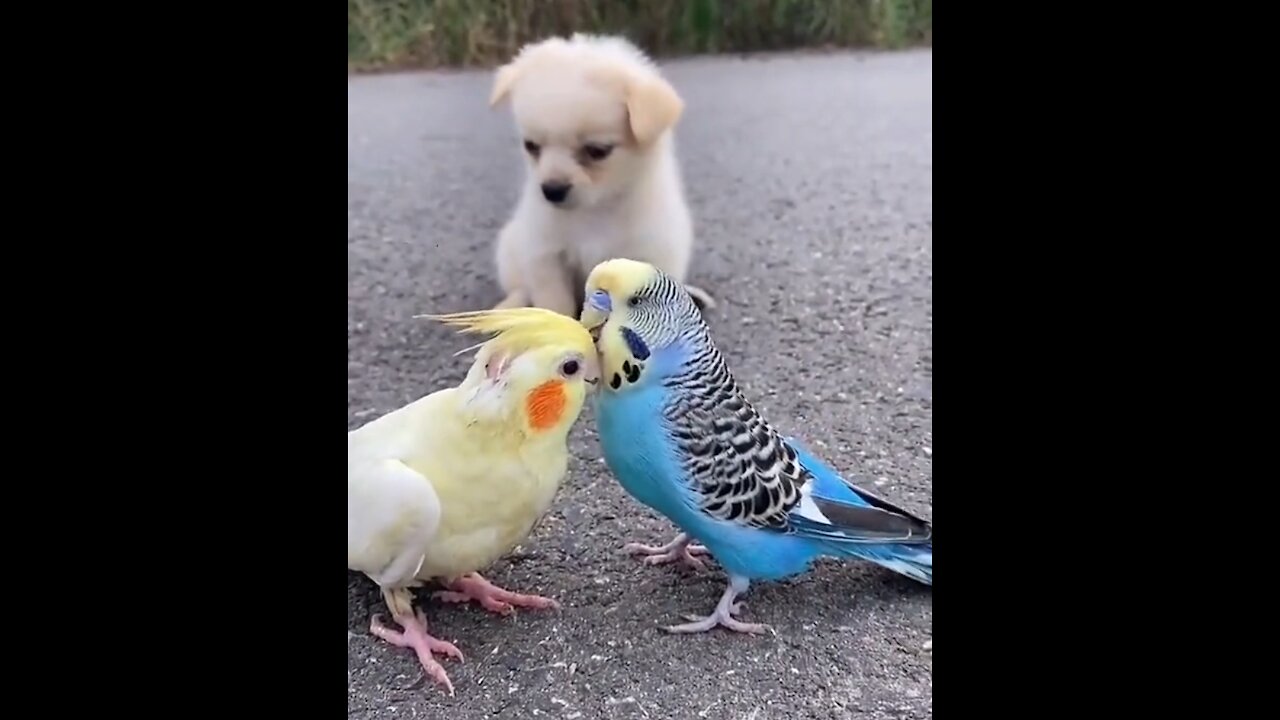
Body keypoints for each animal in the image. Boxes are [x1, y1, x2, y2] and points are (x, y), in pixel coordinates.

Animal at [483, 32, 716, 315]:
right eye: (531, 146)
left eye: (597, 150)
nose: (551, 190)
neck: (595, 211)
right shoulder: (546, 256)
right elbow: (555, 306)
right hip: (511, 249)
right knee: (521, 289)